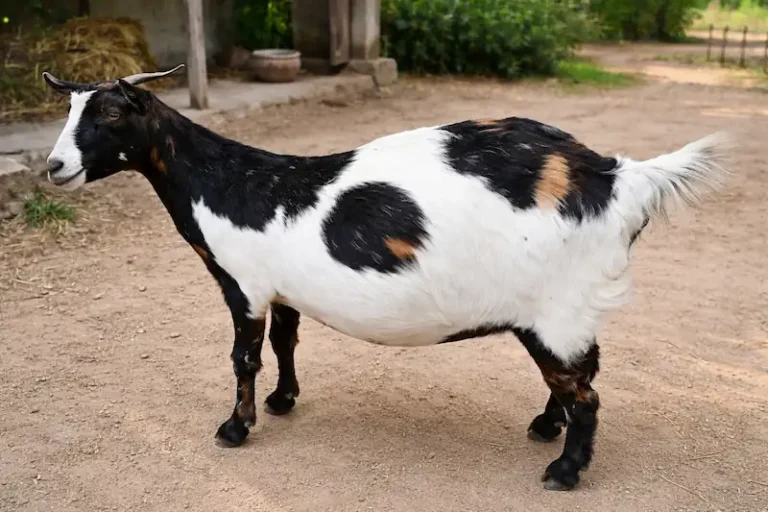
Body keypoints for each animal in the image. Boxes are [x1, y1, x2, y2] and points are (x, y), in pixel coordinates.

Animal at [42, 65, 728, 491]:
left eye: (110, 114)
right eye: (69, 109)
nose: (54, 167)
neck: (227, 183)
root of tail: (617, 176)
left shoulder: (244, 285)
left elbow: (244, 357)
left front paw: (235, 428)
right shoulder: (283, 289)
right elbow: (286, 342)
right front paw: (284, 400)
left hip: (556, 308)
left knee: (586, 392)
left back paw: (564, 470)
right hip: (566, 310)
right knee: (582, 372)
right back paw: (546, 426)